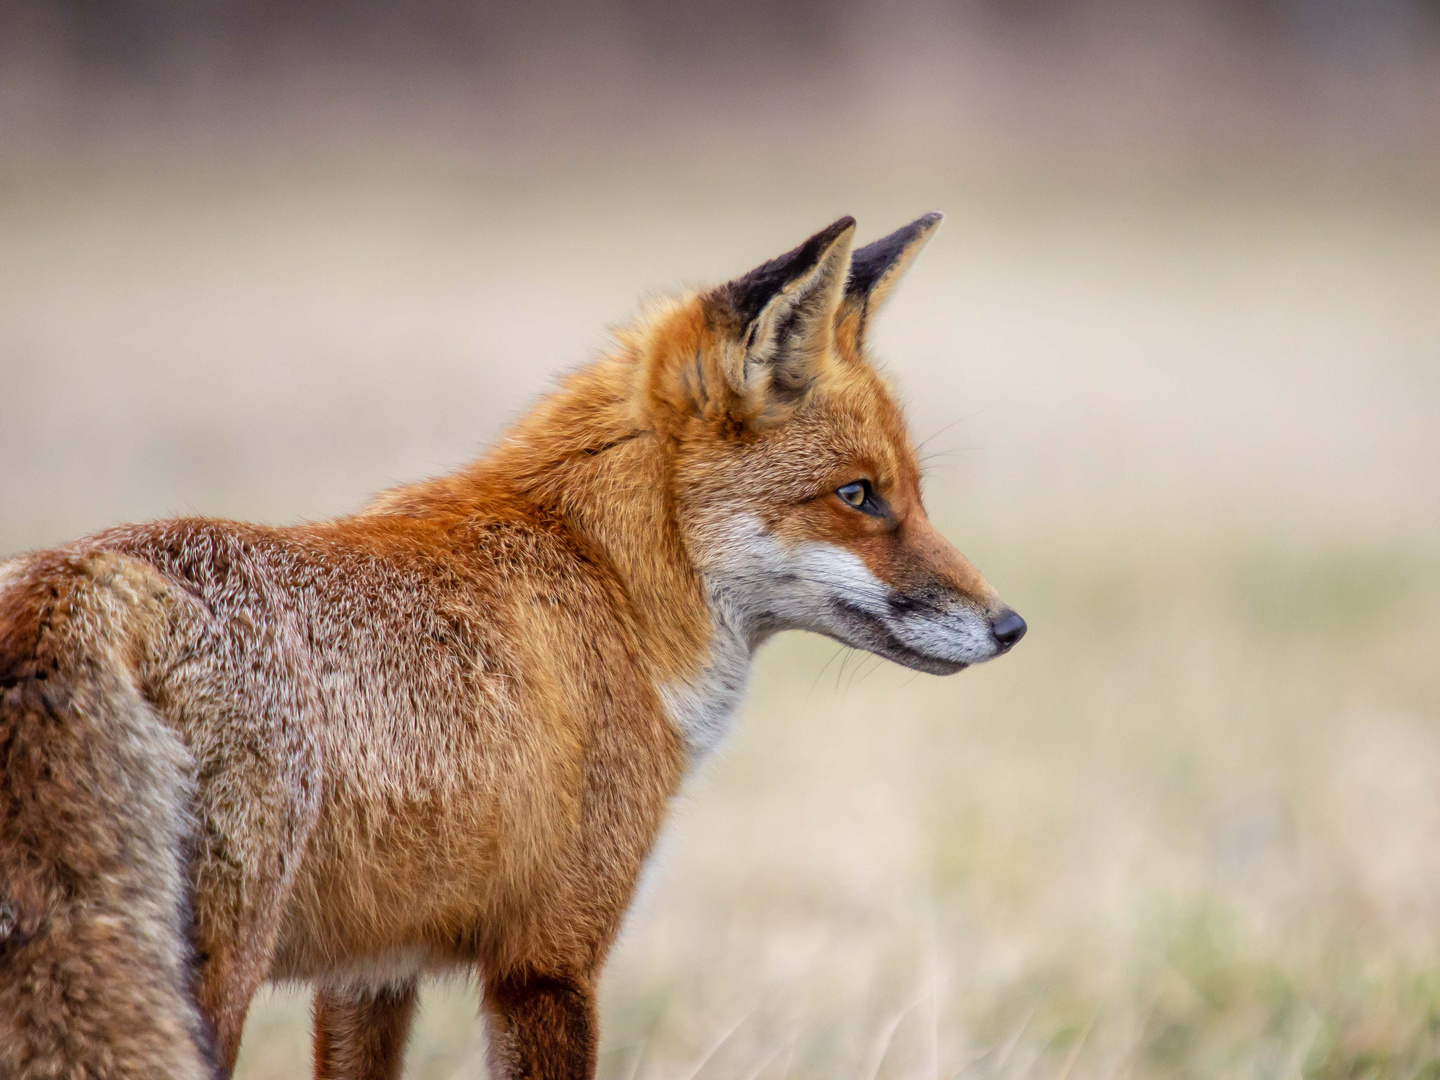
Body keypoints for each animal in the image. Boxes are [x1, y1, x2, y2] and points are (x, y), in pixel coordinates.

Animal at [0, 216, 1025, 1077]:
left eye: (913, 492)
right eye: (858, 497)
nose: (1010, 627)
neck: (608, 577)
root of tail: (79, 578)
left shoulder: (371, 973)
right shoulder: (550, 959)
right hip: (212, 978)